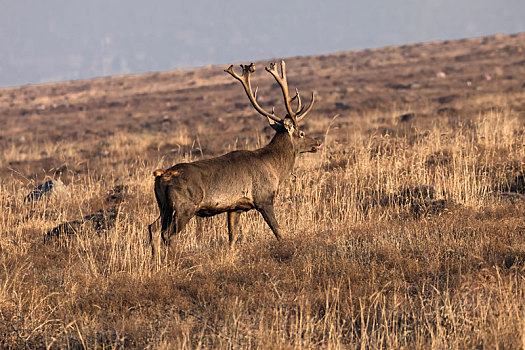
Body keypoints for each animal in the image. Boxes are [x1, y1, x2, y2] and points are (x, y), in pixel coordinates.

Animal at [147, 59, 320, 260]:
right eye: (302, 133)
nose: (318, 142)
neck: (275, 168)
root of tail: (161, 176)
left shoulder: (234, 207)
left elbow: (232, 236)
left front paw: (230, 255)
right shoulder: (264, 199)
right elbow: (278, 231)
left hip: (164, 206)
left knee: (153, 228)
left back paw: (155, 261)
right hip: (184, 206)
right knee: (168, 234)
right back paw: (175, 259)